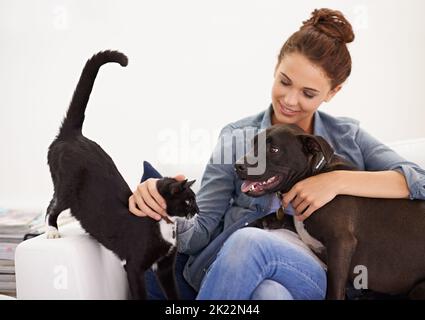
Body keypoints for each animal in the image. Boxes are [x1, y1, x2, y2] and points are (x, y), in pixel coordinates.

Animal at [46, 50, 199, 300]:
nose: (197, 211)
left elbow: (173, 292)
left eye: (194, 200)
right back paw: (51, 231)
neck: (164, 225)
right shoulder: (134, 267)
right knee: (53, 205)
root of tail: (73, 135)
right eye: (188, 201)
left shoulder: (165, 267)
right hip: (67, 187)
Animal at [234, 123, 424, 300]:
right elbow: (278, 218)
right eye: (253, 144)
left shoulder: (341, 242)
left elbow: (333, 290)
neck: (313, 174)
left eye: (274, 149)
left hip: (418, 289)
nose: (238, 166)